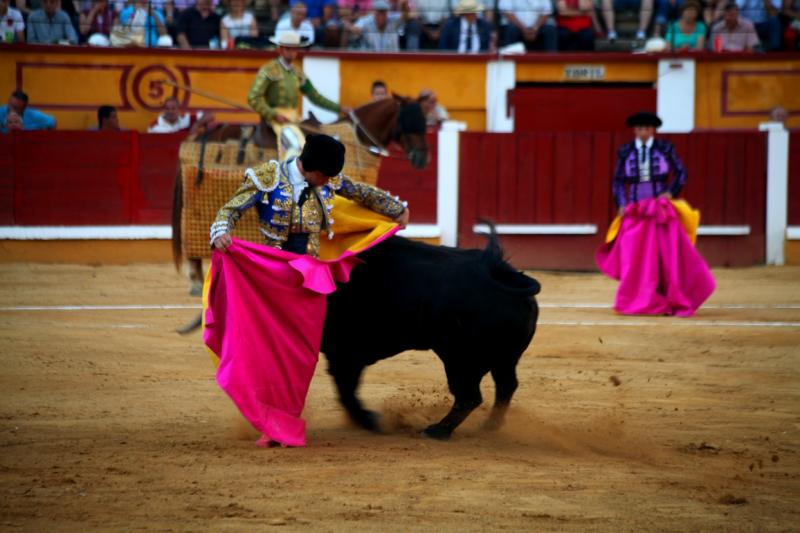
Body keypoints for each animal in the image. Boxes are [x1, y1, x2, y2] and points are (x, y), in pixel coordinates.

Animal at [172, 92, 428, 300]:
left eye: (424, 121)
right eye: (408, 120)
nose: (422, 158)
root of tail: (199, 134)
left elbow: (359, 190)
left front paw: (401, 213)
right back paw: (196, 280)